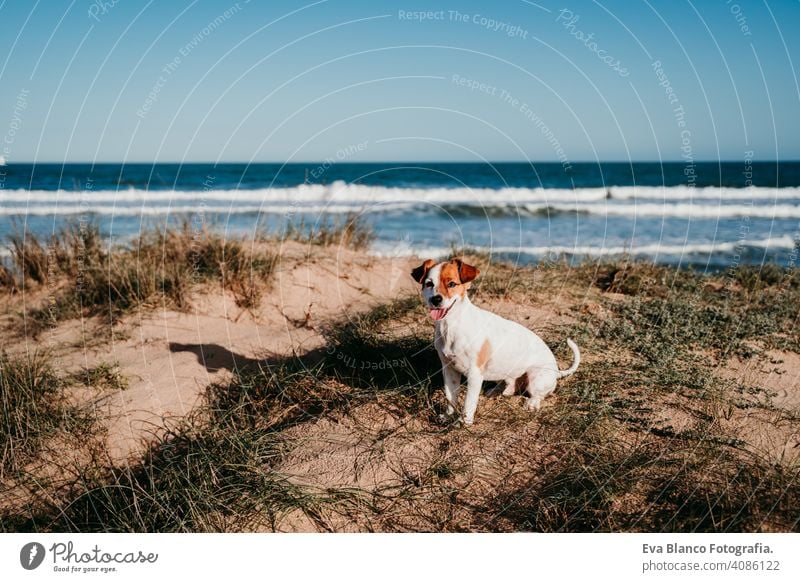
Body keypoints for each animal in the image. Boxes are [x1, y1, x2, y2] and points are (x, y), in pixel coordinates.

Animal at [412, 258, 580, 424]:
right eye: (429, 284)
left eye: (452, 284)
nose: (435, 299)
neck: (451, 325)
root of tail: (556, 371)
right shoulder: (448, 370)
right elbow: (450, 397)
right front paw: (448, 416)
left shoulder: (474, 374)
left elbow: (469, 402)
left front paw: (463, 423)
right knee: (510, 387)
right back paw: (496, 390)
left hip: (535, 377)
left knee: (537, 395)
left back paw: (531, 403)